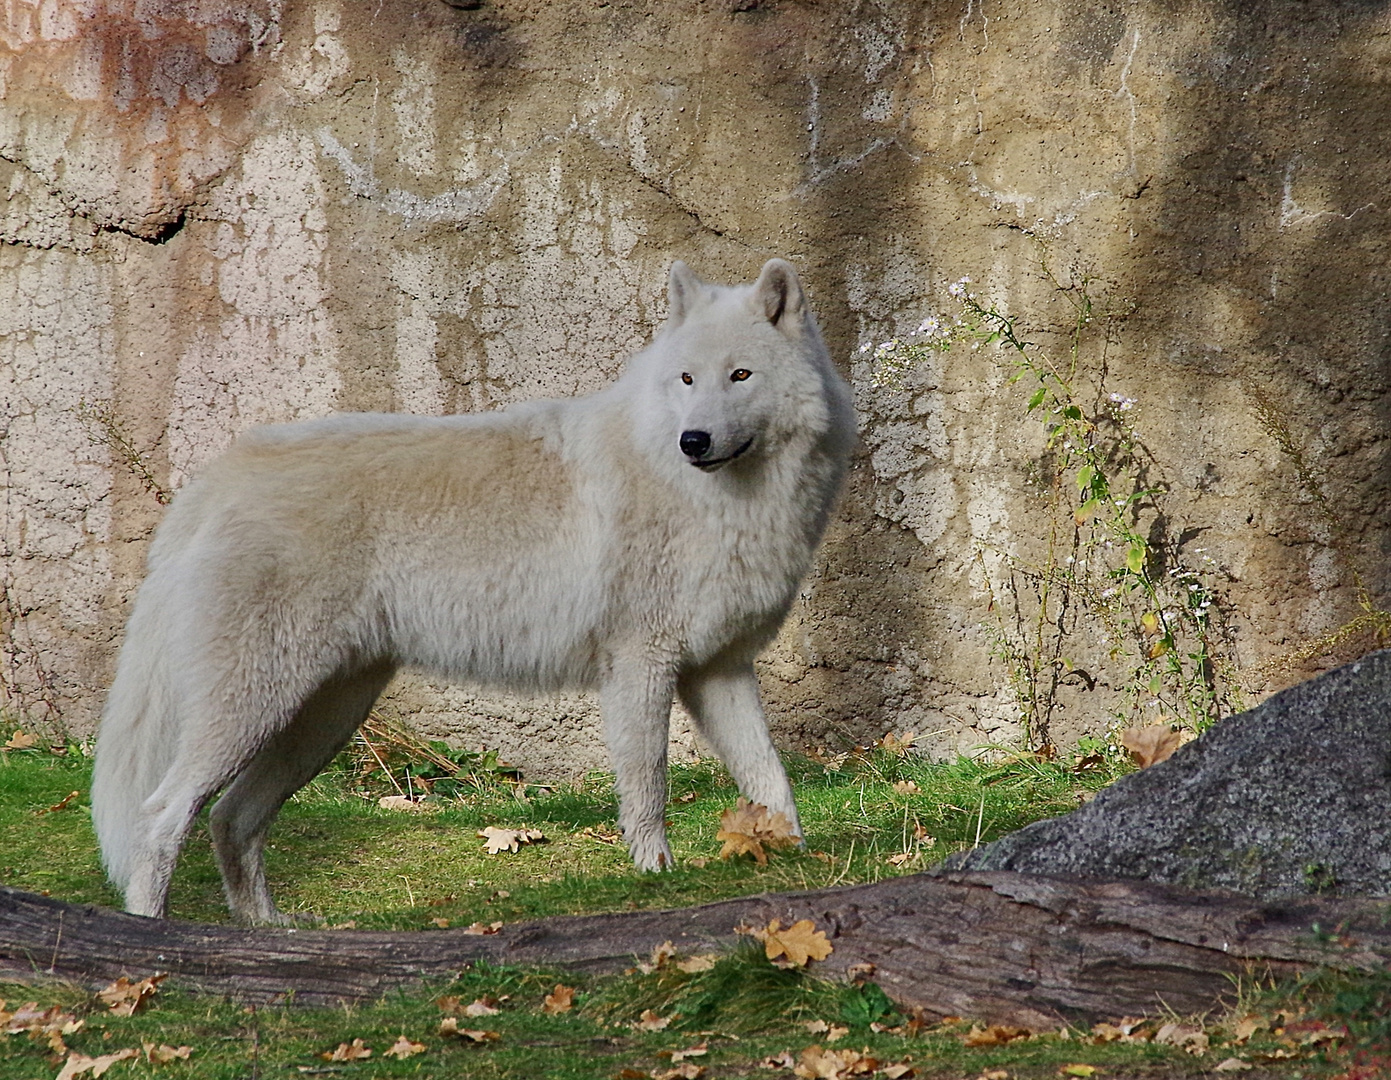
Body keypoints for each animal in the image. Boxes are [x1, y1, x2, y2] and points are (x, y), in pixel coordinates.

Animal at [92, 257, 851, 924]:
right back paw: (155, 932)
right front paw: (654, 876)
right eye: (687, 379)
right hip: (258, 709)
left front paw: (799, 861)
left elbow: (771, 778)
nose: (694, 440)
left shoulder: (720, 669)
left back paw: (268, 931)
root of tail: (220, 473)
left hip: (322, 720)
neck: (717, 501)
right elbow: (649, 786)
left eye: (740, 375)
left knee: (231, 818)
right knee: (161, 815)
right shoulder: (641, 665)